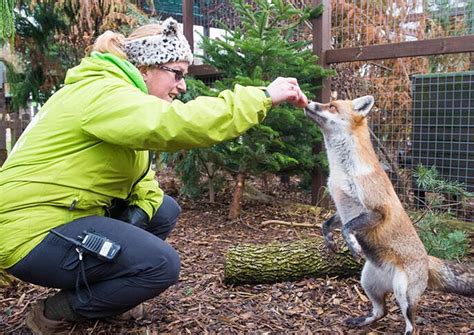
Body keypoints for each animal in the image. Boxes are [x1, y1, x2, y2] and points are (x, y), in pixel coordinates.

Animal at [306, 96, 472, 335]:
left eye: (332, 106)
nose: (308, 102)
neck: (344, 171)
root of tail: (427, 259)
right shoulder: (343, 210)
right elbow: (326, 224)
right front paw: (330, 240)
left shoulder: (377, 211)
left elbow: (348, 228)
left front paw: (352, 245)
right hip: (368, 282)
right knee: (381, 311)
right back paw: (361, 321)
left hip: (404, 292)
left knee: (412, 325)